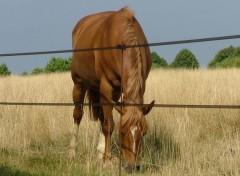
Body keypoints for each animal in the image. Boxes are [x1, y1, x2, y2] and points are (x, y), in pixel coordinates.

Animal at [69, 6, 155, 170]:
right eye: (122, 132)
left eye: (144, 133)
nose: (132, 166)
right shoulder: (106, 87)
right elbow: (109, 125)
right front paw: (107, 161)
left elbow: (105, 121)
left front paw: (103, 157)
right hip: (79, 83)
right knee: (78, 114)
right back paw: (73, 151)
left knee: (101, 117)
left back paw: (99, 152)